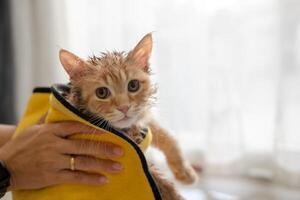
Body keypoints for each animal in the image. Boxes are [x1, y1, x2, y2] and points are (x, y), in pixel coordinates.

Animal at [59, 33, 198, 200]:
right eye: (101, 93)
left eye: (133, 85)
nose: (124, 107)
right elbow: (158, 181)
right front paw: (175, 194)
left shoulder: (141, 117)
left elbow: (168, 137)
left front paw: (185, 171)